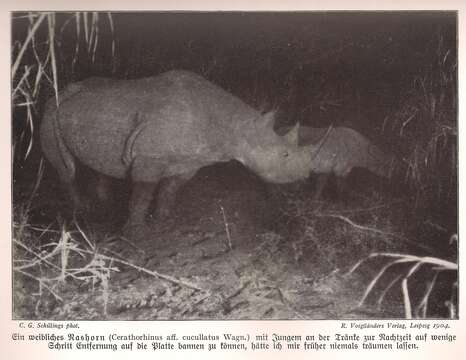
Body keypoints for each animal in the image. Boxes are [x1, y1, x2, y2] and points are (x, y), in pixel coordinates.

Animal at [39, 70, 310, 228]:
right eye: (284, 154)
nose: (306, 175)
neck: (237, 128)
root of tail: (61, 91)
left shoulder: (190, 161)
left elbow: (170, 190)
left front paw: (163, 221)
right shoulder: (149, 158)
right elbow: (142, 195)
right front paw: (134, 231)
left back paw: (102, 205)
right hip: (50, 111)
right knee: (67, 169)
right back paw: (81, 212)